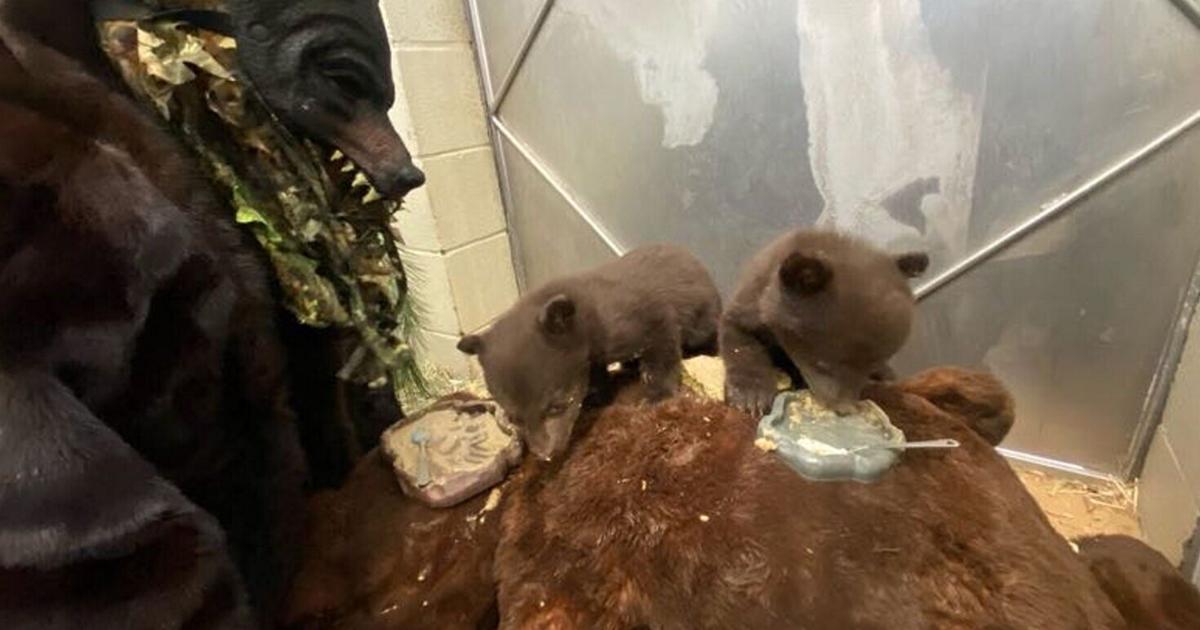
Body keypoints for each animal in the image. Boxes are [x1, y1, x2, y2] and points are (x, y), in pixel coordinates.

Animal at [457, 244, 721, 460]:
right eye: (513, 418)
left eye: (557, 405)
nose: (545, 454)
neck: (590, 322)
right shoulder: (590, 359)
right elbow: (595, 375)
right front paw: (597, 395)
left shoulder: (653, 320)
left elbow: (661, 358)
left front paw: (658, 398)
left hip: (702, 323)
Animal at [720, 228, 929, 416]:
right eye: (823, 364)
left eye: (869, 367)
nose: (844, 408)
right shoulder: (750, 302)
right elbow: (740, 340)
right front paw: (751, 395)